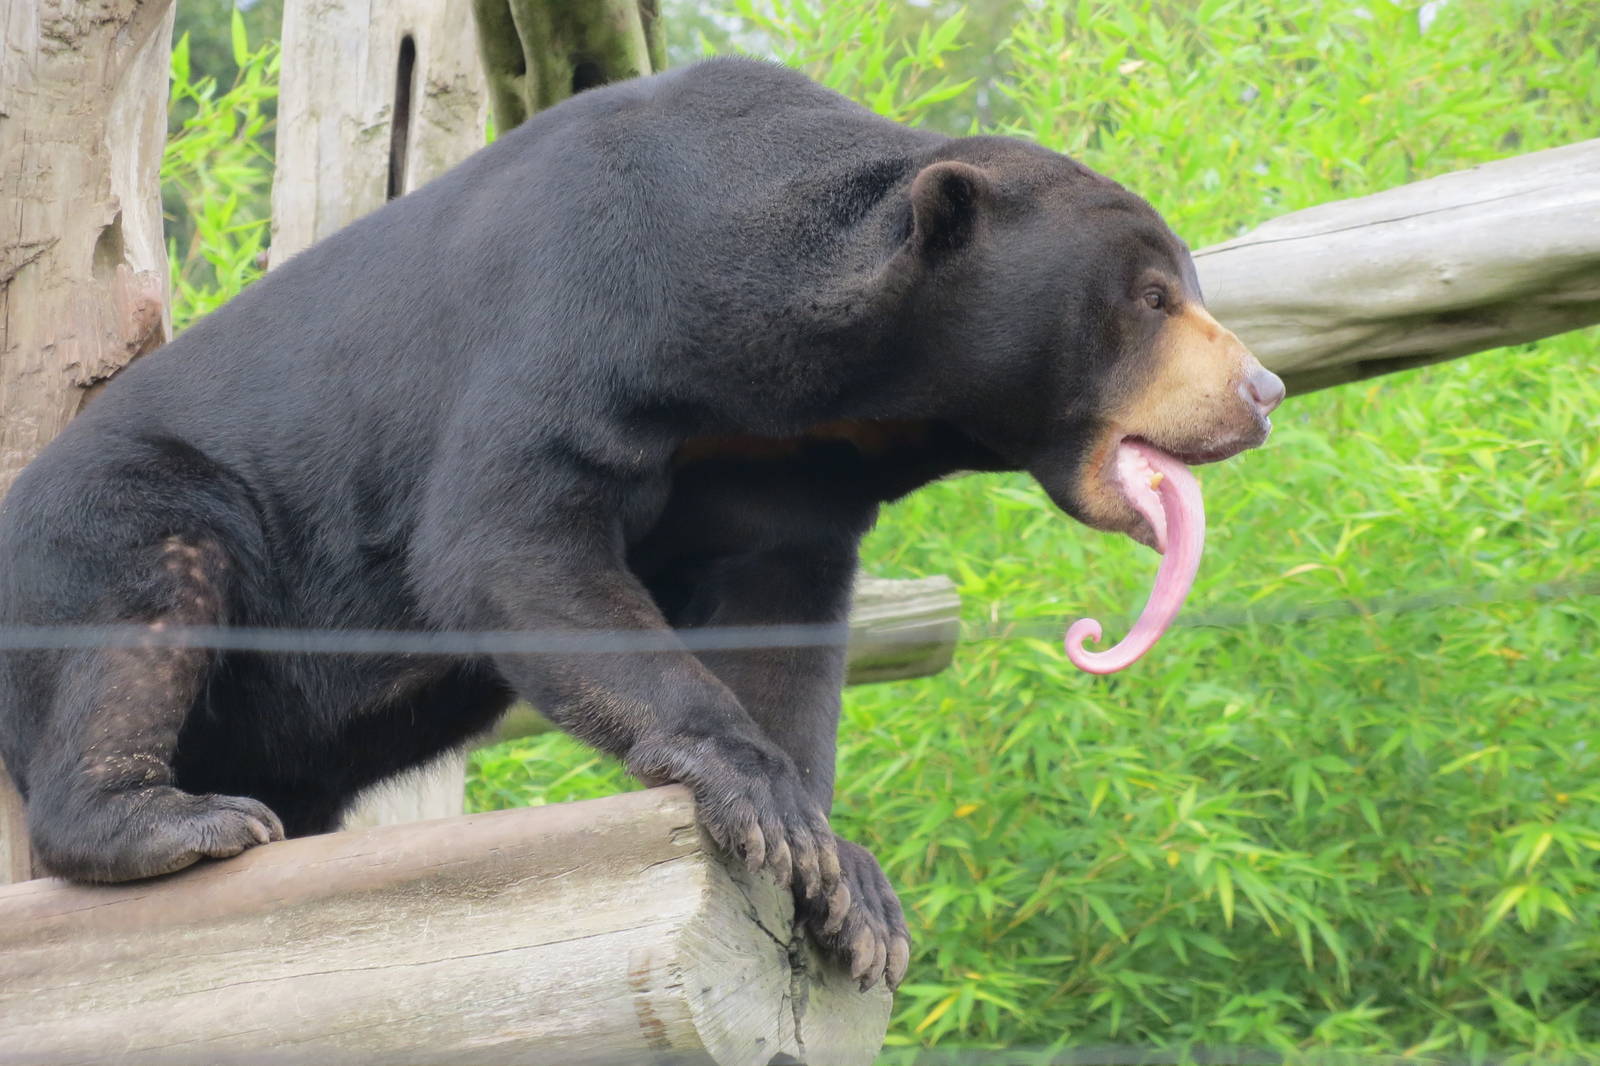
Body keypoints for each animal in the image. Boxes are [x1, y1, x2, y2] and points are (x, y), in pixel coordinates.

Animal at [0, 57, 1282, 991]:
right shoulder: (584, 305)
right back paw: (175, 820)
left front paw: (848, 887)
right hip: (123, 516)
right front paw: (763, 802)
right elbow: (509, 535)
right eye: (1149, 298)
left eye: (1185, 287)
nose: (1261, 391)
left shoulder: (786, 468)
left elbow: (779, 620)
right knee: (138, 607)